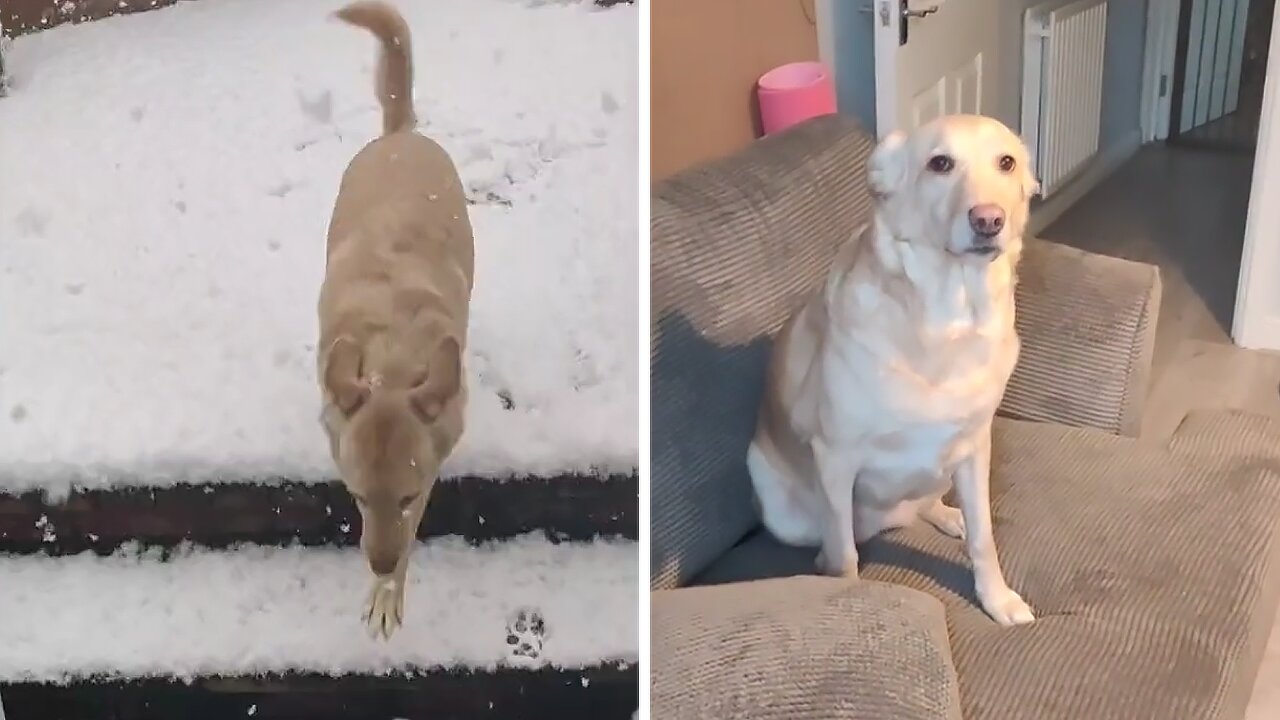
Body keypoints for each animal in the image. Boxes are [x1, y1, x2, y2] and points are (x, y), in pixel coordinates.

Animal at [747, 114, 1039, 625]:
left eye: (1006, 163)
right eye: (940, 164)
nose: (988, 220)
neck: (948, 321)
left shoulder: (975, 448)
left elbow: (985, 537)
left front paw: (996, 598)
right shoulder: (835, 459)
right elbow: (845, 554)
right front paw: (843, 589)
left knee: (932, 504)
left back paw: (948, 515)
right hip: (782, 508)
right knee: (834, 538)